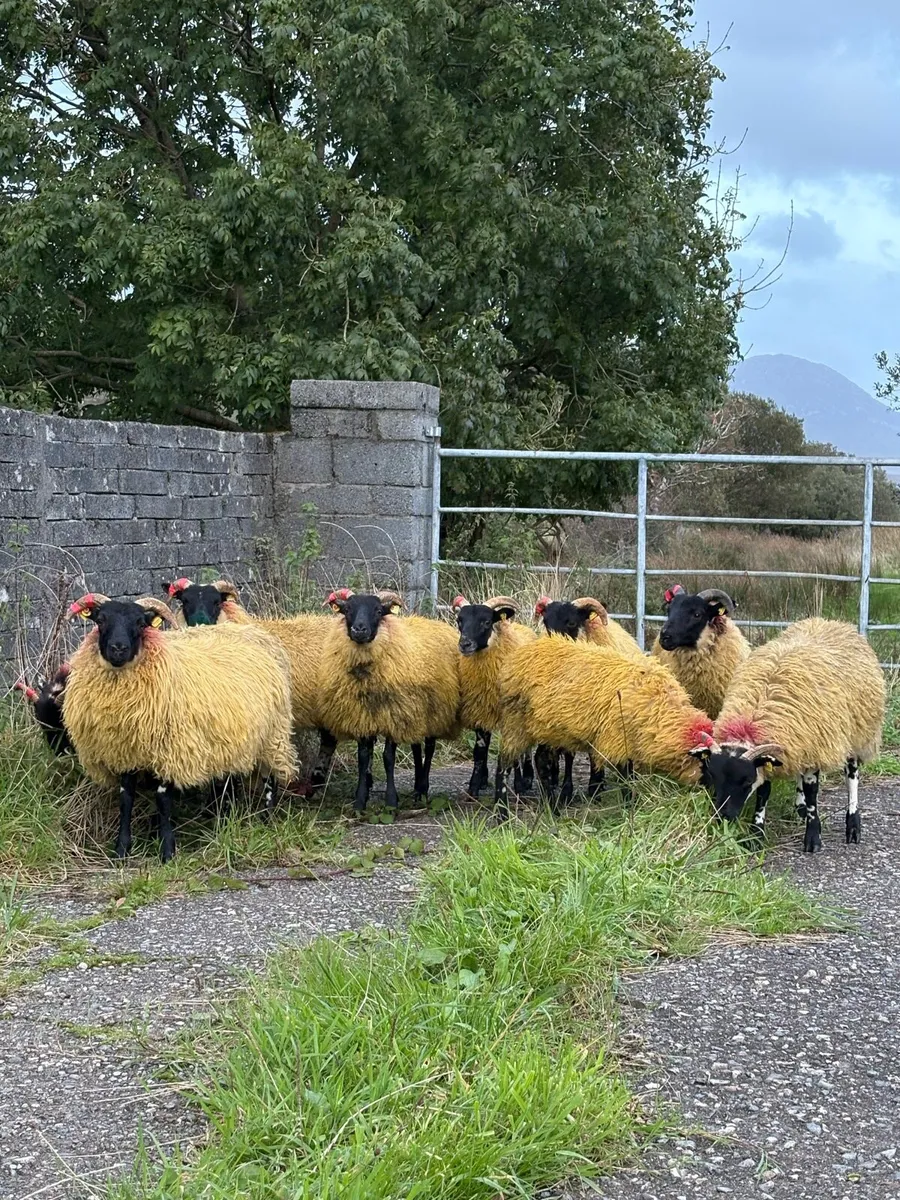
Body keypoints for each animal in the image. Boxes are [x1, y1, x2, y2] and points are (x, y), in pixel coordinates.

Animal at [63, 593, 297, 861]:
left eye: (140, 623)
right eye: (101, 620)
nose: (118, 648)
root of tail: (257, 633)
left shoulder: (170, 749)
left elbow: (163, 801)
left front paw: (167, 851)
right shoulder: (126, 752)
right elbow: (126, 799)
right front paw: (122, 849)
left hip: (273, 733)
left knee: (271, 777)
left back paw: (267, 819)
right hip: (232, 737)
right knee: (227, 781)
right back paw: (221, 817)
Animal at [318, 591, 461, 812]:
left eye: (378, 611)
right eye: (347, 609)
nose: (359, 629)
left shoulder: (394, 714)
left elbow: (388, 758)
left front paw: (391, 801)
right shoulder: (363, 717)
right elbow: (363, 758)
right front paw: (360, 800)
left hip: (433, 711)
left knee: (429, 748)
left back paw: (423, 788)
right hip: (414, 715)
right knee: (416, 747)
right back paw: (416, 790)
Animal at [452, 594, 535, 798]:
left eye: (487, 622)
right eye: (460, 621)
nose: (464, 644)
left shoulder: (510, 716)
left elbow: (507, 757)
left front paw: (509, 790)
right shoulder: (482, 710)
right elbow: (479, 753)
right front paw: (473, 788)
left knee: (524, 749)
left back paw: (526, 779)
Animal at [497, 634, 714, 812]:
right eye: (706, 759)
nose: (711, 794)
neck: (659, 709)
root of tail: (519, 655)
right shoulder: (617, 742)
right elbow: (627, 781)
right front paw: (630, 809)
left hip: (548, 729)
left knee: (541, 760)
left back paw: (553, 808)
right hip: (515, 722)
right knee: (503, 764)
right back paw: (502, 813)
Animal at [688, 618, 886, 852]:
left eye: (746, 781)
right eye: (712, 776)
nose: (724, 817)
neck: (749, 726)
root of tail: (832, 622)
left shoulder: (814, 749)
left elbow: (812, 795)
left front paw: (813, 838)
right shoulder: (778, 753)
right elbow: (764, 793)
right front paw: (756, 834)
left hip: (857, 731)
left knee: (852, 775)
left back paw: (853, 824)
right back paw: (800, 807)